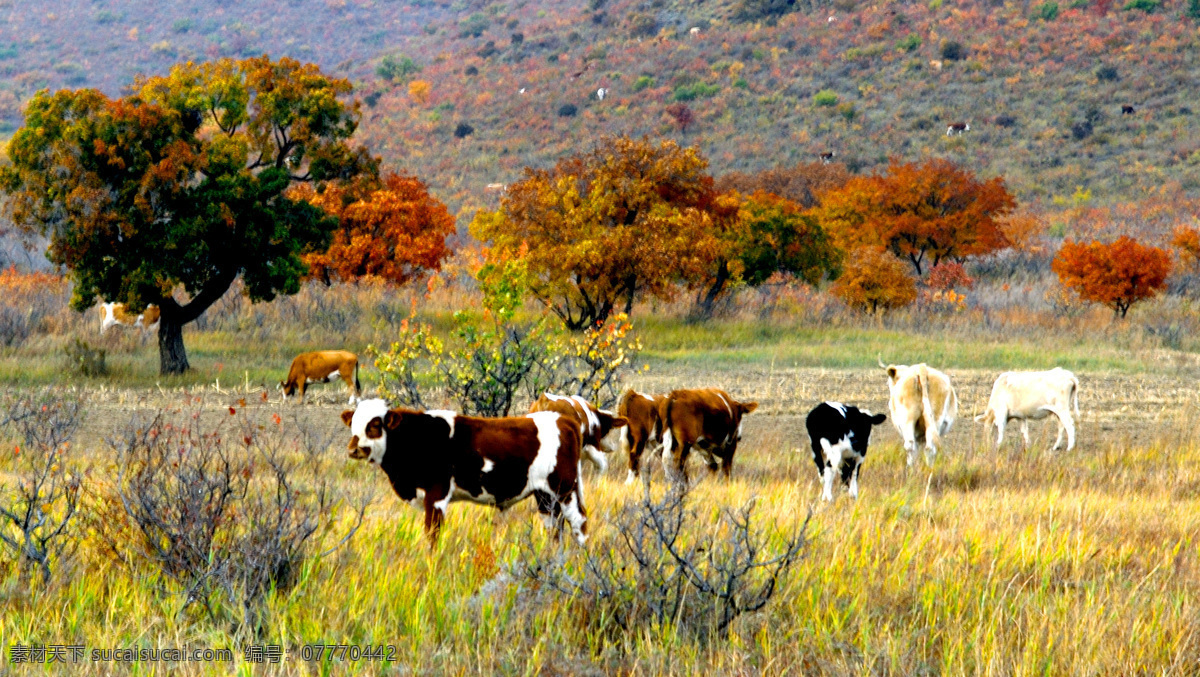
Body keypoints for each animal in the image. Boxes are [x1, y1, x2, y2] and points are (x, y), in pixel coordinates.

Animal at [340, 396, 588, 544]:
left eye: (374, 425)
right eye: (353, 424)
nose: (353, 449)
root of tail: (564, 420)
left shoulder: (436, 494)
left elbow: (432, 535)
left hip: (565, 488)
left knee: (578, 522)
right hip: (545, 495)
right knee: (554, 526)